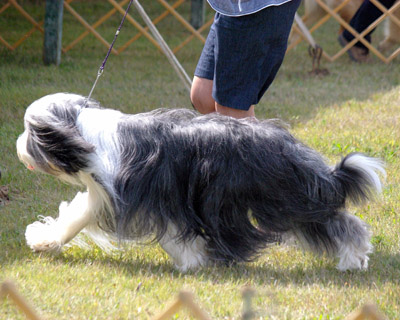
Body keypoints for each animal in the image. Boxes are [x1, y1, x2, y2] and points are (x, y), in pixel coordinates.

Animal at [17, 92, 386, 270]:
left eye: (29, 131)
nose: (18, 146)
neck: (84, 132)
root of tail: (288, 144)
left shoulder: (155, 197)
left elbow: (174, 235)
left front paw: (190, 263)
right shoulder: (104, 195)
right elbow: (76, 216)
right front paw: (45, 240)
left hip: (285, 198)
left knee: (341, 223)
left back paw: (353, 259)